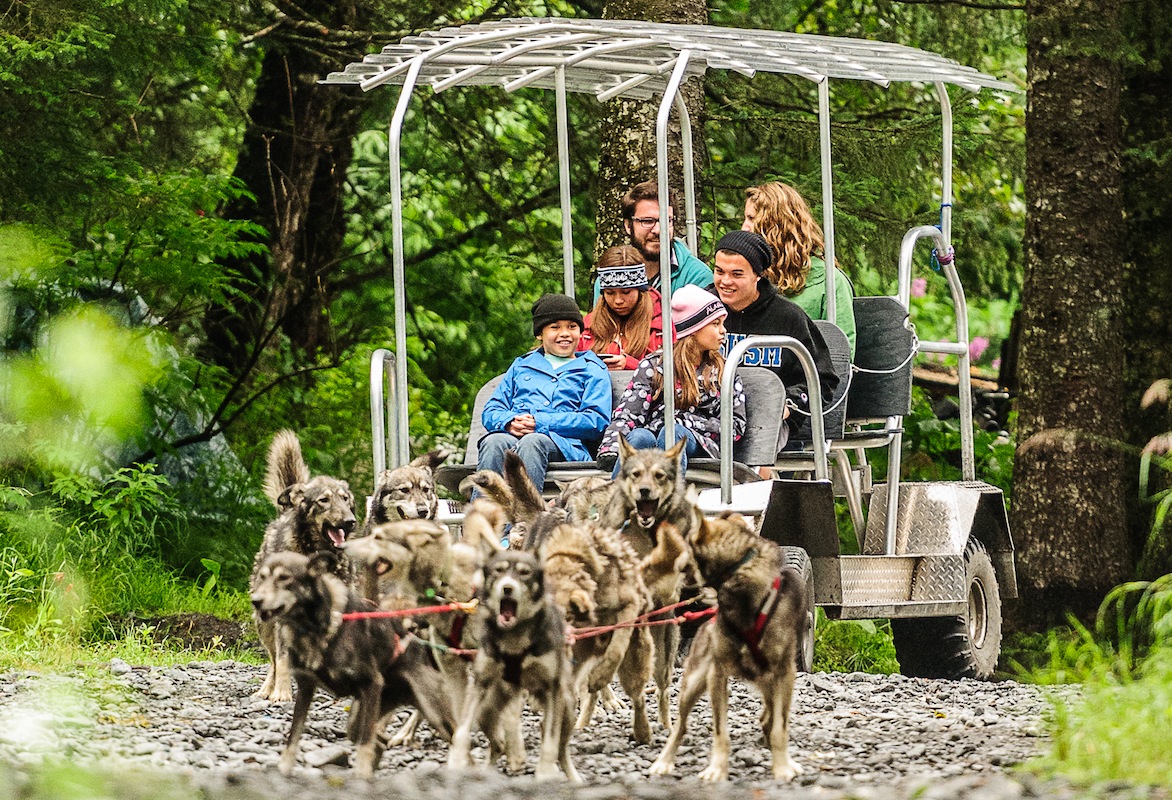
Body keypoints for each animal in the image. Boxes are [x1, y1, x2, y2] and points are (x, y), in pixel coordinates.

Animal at [249, 431, 353, 702]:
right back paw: (268, 688)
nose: (350, 521)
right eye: (324, 500)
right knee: (274, 660)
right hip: (264, 623)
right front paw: (282, 692)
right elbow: (283, 658)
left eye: (345, 499)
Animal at [251, 550, 452, 777]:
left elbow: (365, 746)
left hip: (433, 711)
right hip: (358, 718)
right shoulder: (306, 689)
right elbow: (292, 740)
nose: (255, 600)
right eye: (262, 577)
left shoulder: (372, 684)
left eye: (284, 578)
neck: (315, 629)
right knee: (378, 740)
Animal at [445, 550, 578, 782]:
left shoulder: (553, 689)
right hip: (486, 711)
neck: (515, 638)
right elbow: (461, 732)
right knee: (498, 745)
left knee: (561, 749)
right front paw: (456, 759)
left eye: (525, 573)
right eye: (498, 570)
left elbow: (550, 744)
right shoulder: (480, 684)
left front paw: (545, 772)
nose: (507, 588)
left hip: (568, 710)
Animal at [646, 513, 811, 782]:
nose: (671, 565)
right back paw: (664, 762)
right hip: (693, 683)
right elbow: (720, 731)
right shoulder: (718, 673)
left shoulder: (785, 673)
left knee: (769, 715)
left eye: (685, 547)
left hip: (771, 683)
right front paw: (716, 769)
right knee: (680, 726)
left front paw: (783, 767)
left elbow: (780, 726)